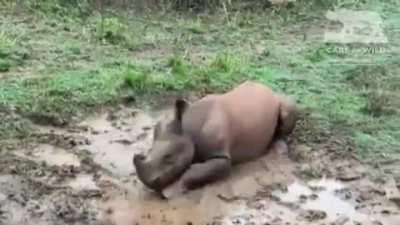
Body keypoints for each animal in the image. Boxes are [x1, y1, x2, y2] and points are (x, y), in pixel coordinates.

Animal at [133, 81, 296, 197]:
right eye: (149, 151)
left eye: (168, 157)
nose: (151, 186)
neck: (188, 129)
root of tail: (268, 88)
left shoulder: (220, 156)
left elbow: (195, 172)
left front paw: (175, 191)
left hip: (282, 101)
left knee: (288, 107)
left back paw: (279, 148)